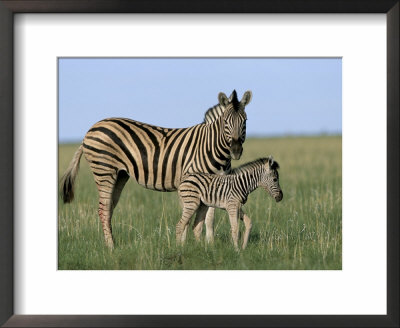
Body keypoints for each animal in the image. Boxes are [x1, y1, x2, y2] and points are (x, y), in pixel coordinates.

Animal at [61, 88, 252, 247]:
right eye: (225, 121)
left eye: (245, 121)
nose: (236, 150)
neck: (210, 146)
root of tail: (91, 129)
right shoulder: (192, 181)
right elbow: (190, 217)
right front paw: (183, 246)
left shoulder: (215, 184)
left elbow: (209, 218)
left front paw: (209, 245)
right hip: (104, 170)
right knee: (103, 208)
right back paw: (111, 248)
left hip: (120, 174)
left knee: (109, 208)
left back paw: (113, 243)